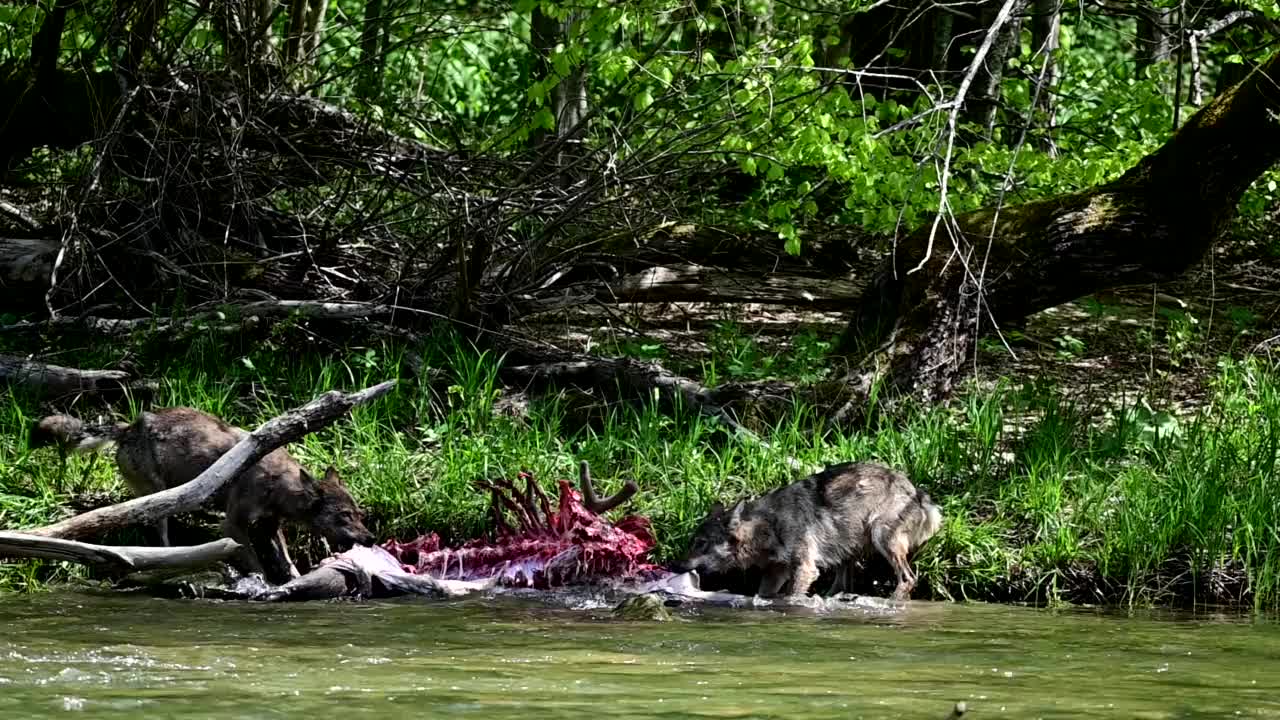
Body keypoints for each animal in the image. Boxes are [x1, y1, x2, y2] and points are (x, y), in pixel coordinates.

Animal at [31, 404, 373, 584]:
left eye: (359, 514)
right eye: (344, 516)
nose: (370, 538)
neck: (277, 484)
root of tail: (129, 427)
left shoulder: (270, 527)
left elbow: (287, 562)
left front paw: (296, 580)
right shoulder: (233, 525)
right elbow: (255, 562)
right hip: (163, 499)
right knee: (161, 539)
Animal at [686, 458, 947, 599]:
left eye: (701, 543)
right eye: (693, 543)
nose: (677, 565)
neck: (768, 525)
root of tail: (916, 491)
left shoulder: (805, 569)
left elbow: (792, 596)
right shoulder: (775, 572)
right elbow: (764, 594)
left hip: (881, 537)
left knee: (908, 578)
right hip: (846, 549)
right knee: (843, 584)